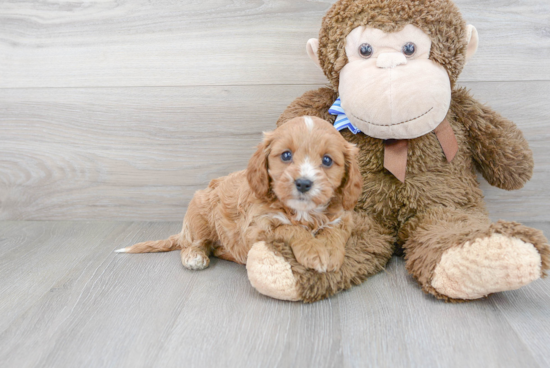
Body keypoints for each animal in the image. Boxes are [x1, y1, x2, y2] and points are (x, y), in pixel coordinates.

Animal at [117, 116, 362, 274]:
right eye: (286, 155)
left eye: (327, 160)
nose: (303, 183)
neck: (302, 212)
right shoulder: (256, 228)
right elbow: (290, 228)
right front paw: (314, 251)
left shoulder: (343, 218)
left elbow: (334, 232)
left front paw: (331, 253)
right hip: (199, 218)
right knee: (192, 244)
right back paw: (194, 257)